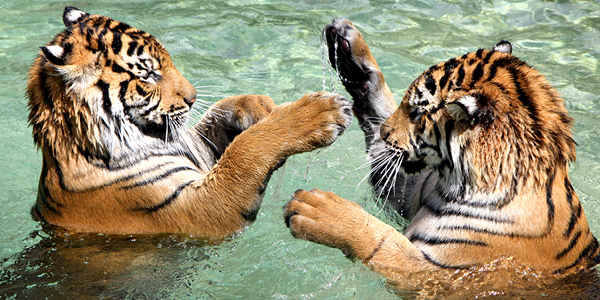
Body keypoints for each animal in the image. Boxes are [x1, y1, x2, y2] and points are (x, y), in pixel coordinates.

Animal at [28, 5, 354, 238]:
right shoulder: (201, 209)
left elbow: (214, 127)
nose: (193, 97)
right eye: (149, 74)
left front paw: (259, 105)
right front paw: (319, 113)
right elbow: (246, 150)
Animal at [282, 18, 600, 284]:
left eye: (416, 112)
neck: (454, 185)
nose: (385, 133)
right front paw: (348, 50)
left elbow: (381, 240)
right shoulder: (413, 187)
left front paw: (315, 209)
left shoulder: (438, 274)